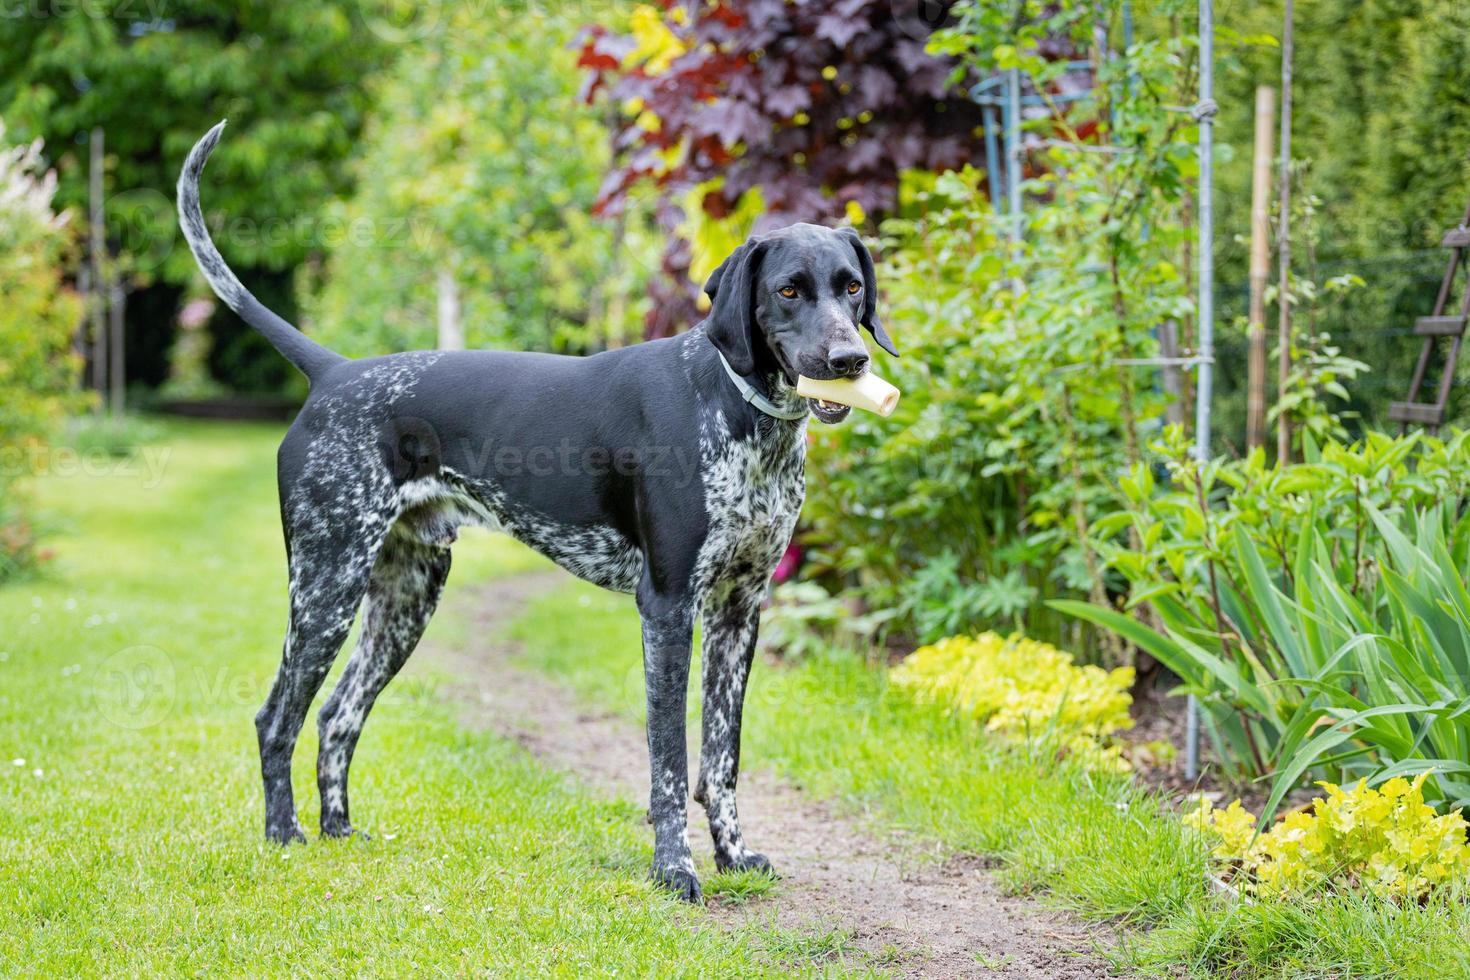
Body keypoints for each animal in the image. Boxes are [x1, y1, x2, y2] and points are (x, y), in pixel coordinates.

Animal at [179, 122, 899, 905]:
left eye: (851, 287)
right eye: (789, 290)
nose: (850, 359)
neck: (738, 408)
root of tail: (335, 372)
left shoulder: (741, 610)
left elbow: (721, 758)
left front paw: (734, 856)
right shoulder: (668, 607)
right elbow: (670, 763)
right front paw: (674, 870)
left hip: (405, 597)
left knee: (339, 714)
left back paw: (340, 832)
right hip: (326, 586)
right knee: (276, 717)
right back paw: (285, 837)